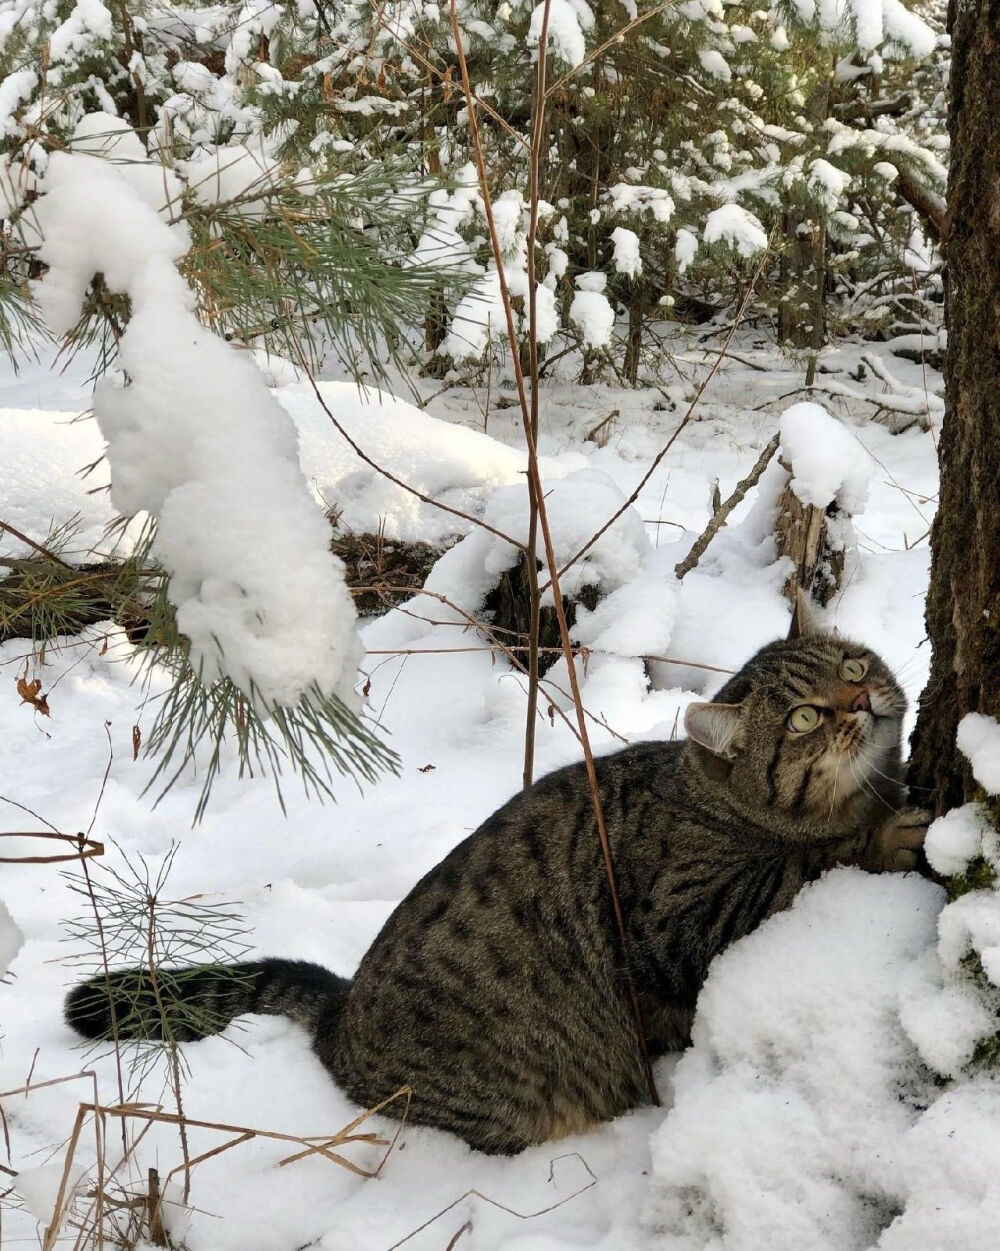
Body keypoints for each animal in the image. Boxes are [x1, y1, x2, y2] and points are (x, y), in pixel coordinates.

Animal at [66, 615, 931, 1150]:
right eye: (805, 717)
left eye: (855, 664)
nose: (863, 697)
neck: (722, 802)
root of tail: (340, 1014)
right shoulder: (680, 919)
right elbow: (805, 866)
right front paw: (886, 833)